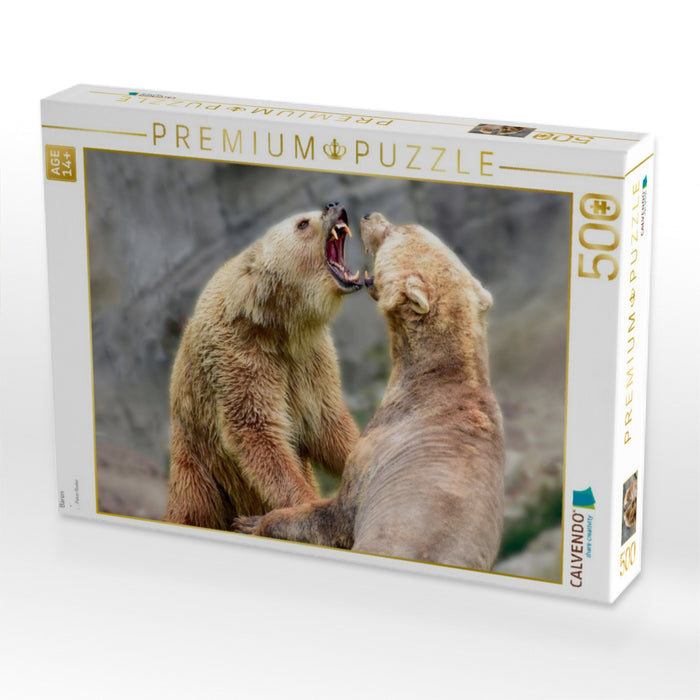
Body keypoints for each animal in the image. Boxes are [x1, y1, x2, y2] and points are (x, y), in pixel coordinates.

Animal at [164, 202, 362, 530]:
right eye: (303, 223)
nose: (335, 205)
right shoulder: (240, 358)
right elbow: (257, 431)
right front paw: (306, 505)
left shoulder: (310, 360)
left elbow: (326, 422)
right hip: (200, 471)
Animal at [234, 212, 506, 572]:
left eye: (396, 230)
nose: (369, 216)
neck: (444, 376)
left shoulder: (378, 451)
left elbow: (336, 517)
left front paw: (252, 522)